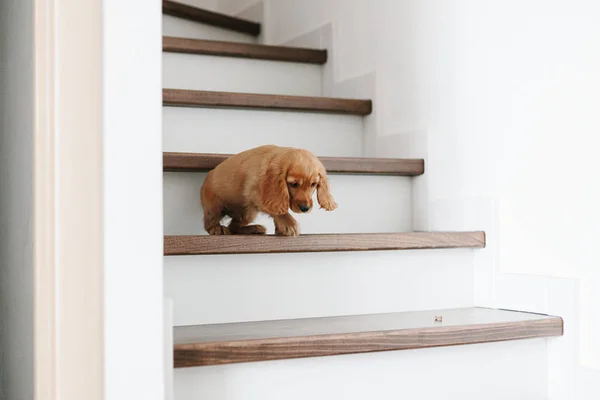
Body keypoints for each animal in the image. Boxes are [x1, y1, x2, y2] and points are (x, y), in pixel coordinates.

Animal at [199, 145, 336, 236]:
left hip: (247, 213)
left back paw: (254, 228)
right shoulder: (256, 195)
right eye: (293, 184)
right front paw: (289, 224)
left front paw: (280, 228)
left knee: (233, 226)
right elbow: (278, 210)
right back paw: (217, 228)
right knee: (210, 223)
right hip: (214, 206)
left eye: (313, 184)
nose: (305, 208)